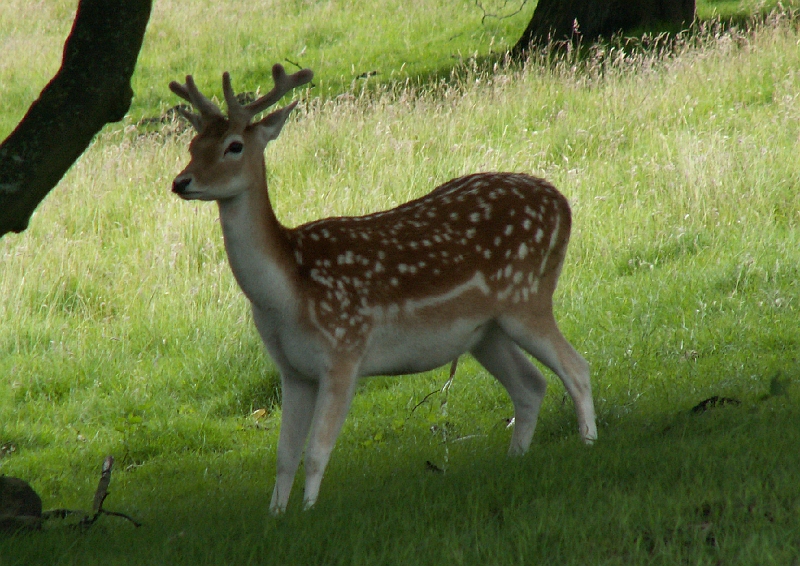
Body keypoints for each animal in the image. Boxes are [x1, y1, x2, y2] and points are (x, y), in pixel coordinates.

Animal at [170, 64, 592, 516]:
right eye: (193, 144)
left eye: (233, 146)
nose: (181, 181)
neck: (287, 293)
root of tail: (563, 204)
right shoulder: (292, 370)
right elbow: (284, 457)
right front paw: (276, 517)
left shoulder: (344, 350)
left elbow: (316, 452)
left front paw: (309, 512)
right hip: (485, 332)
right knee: (531, 386)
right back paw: (515, 460)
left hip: (525, 297)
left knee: (577, 368)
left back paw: (588, 444)